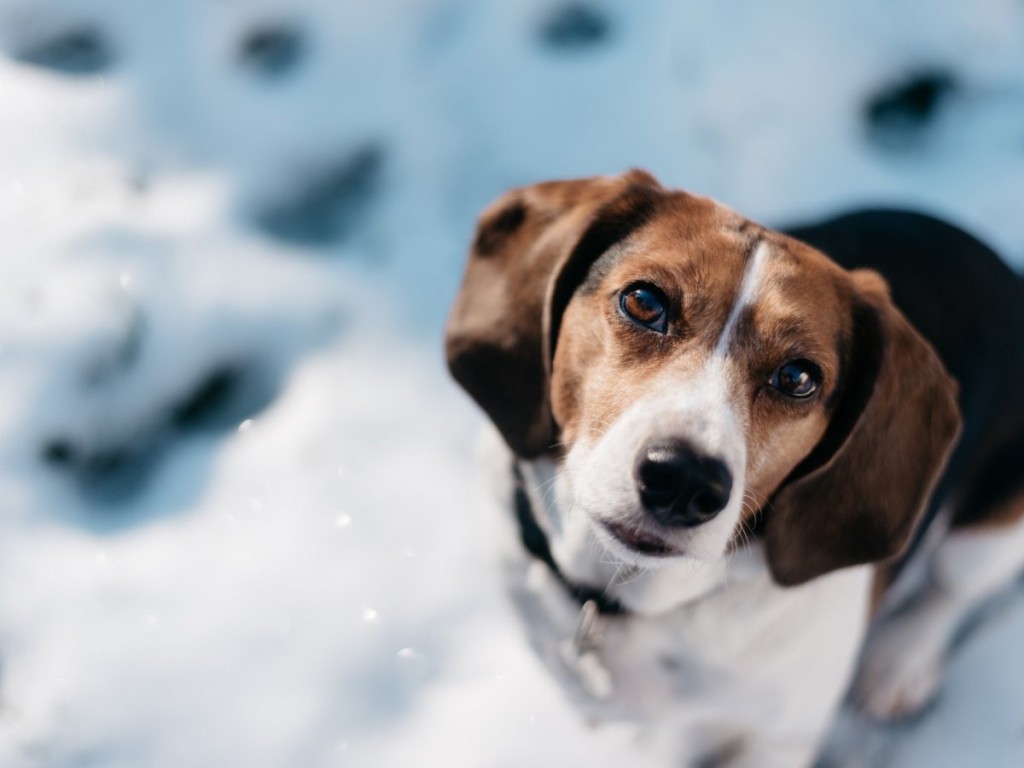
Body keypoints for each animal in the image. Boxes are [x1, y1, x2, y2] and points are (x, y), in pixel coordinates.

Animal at [444, 171, 1024, 765]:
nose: (684, 481)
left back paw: (899, 664)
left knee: (952, 590)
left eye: (798, 377)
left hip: (990, 536)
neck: (624, 598)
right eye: (644, 302)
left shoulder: (781, 738)